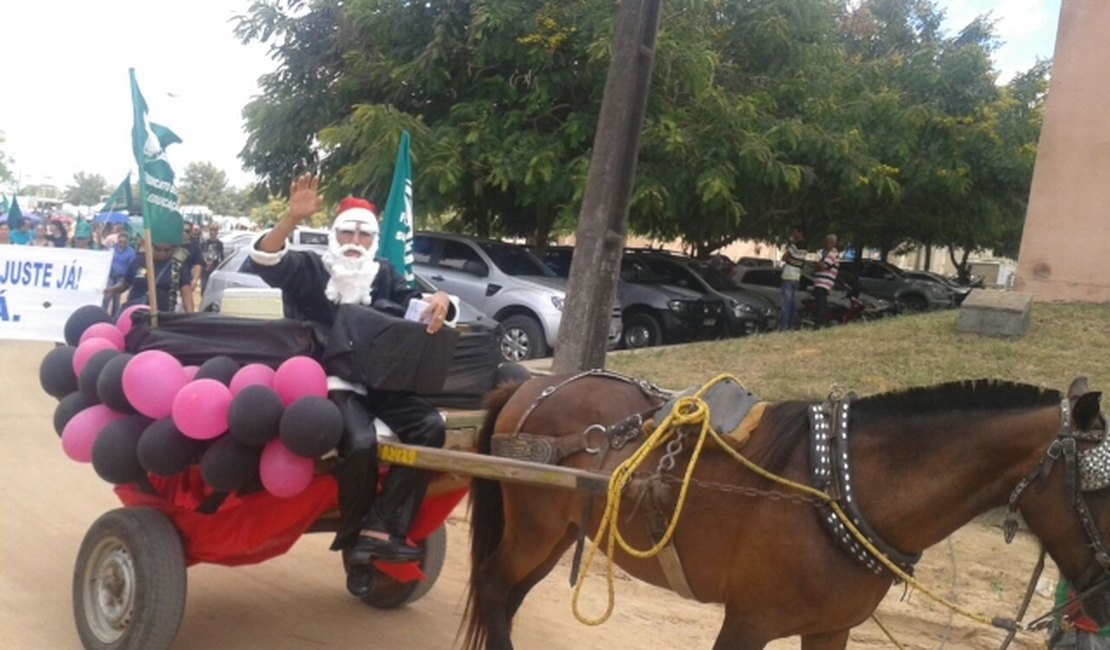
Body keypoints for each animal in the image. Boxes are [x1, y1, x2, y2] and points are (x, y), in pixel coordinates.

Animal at [461, 370, 1110, 647]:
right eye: (1100, 491)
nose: (1100, 601)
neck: (844, 487)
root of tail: (529, 384)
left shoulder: (830, 632)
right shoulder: (748, 623)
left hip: (560, 533)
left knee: (509, 595)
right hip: (534, 528)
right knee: (493, 586)